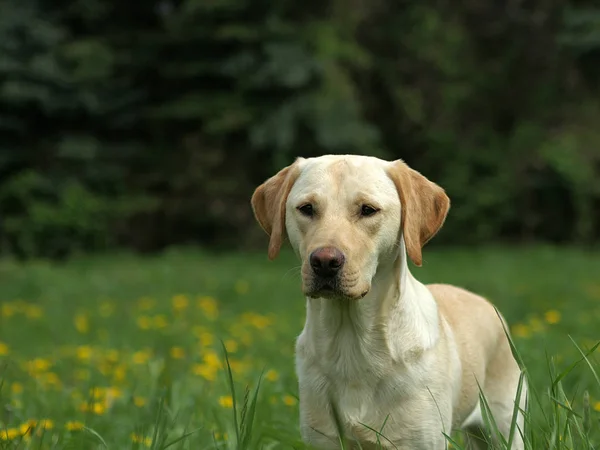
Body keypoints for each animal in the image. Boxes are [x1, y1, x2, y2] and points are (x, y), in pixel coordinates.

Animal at [251, 156, 524, 450]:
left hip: (505, 426)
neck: (351, 342)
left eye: (368, 210)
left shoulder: (420, 441)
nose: (324, 262)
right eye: (306, 208)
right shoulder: (323, 439)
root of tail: (484, 301)